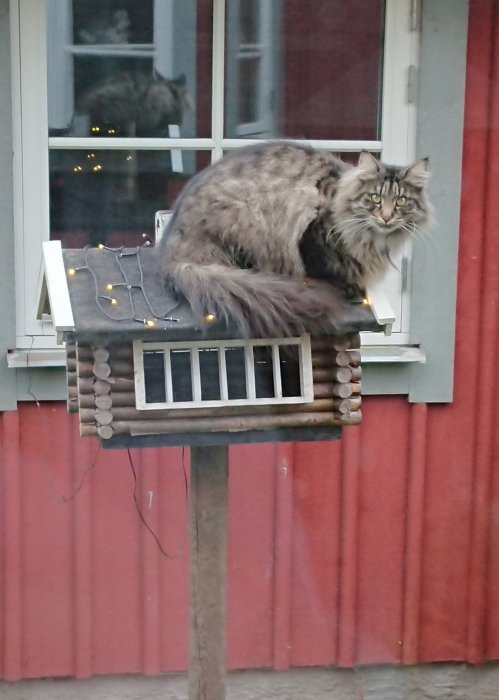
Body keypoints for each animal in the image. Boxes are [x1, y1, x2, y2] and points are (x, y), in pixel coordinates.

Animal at [158, 142, 432, 336]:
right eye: (375, 198)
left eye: (401, 201)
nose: (386, 217)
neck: (372, 238)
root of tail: (174, 254)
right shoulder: (313, 233)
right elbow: (325, 265)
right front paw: (348, 286)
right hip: (249, 219)